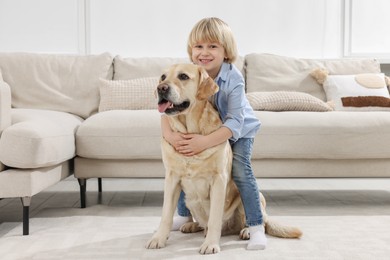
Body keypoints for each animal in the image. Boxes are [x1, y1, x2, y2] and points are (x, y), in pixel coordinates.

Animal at [145, 63, 302, 254]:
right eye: (162, 77)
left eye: (183, 76)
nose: (161, 88)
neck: (191, 129)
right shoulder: (172, 178)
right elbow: (166, 214)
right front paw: (158, 239)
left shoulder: (218, 180)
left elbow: (214, 218)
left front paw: (211, 244)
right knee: (202, 223)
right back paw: (191, 225)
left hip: (254, 198)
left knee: (259, 221)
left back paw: (249, 232)